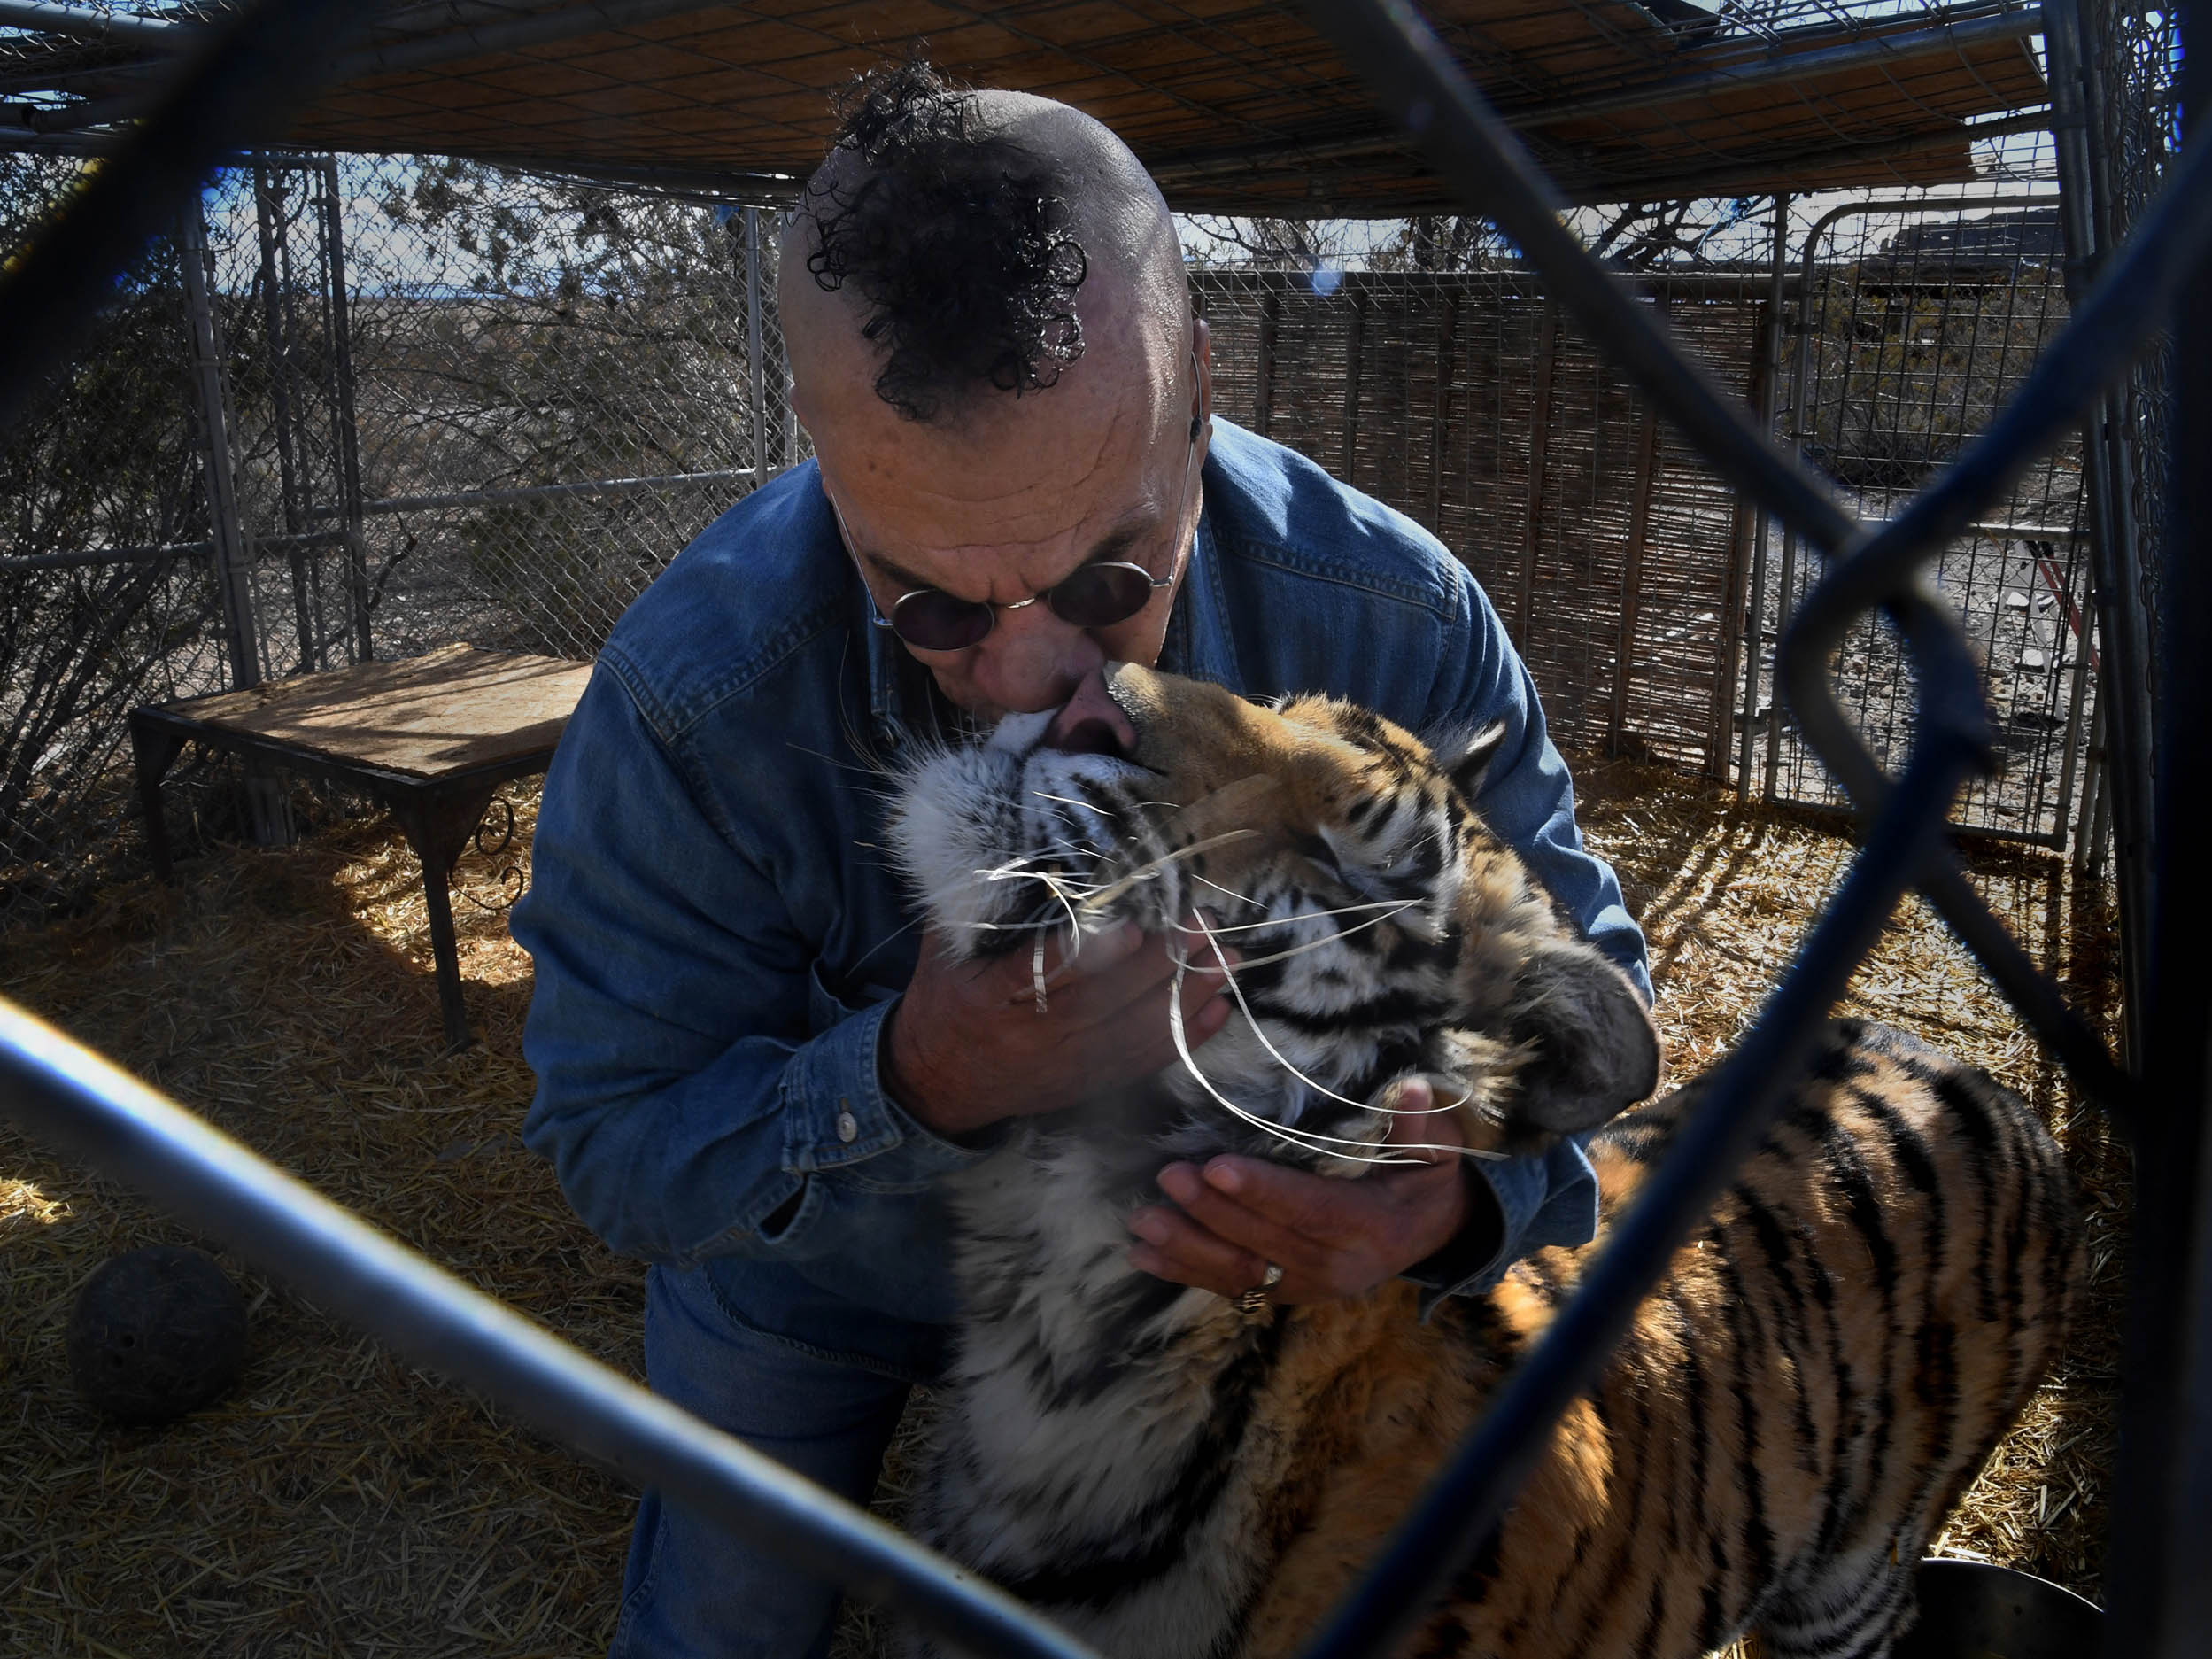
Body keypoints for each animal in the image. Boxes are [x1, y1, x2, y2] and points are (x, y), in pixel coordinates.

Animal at [876, 663, 2070, 1659]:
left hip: (1852, 1582)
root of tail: (1969, 1067)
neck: (1064, 1326)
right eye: (1282, 704)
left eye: (1350, 861)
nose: (1089, 701)